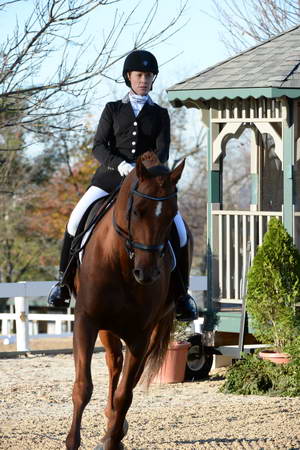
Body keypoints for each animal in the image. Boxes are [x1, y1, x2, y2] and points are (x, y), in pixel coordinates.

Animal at [65, 152, 189, 450]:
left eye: (171, 215)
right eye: (137, 211)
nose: (148, 273)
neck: (122, 262)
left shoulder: (140, 334)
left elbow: (125, 394)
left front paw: (112, 437)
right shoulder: (86, 321)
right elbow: (82, 386)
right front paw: (73, 441)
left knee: (129, 377)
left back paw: (115, 427)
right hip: (107, 328)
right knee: (114, 364)